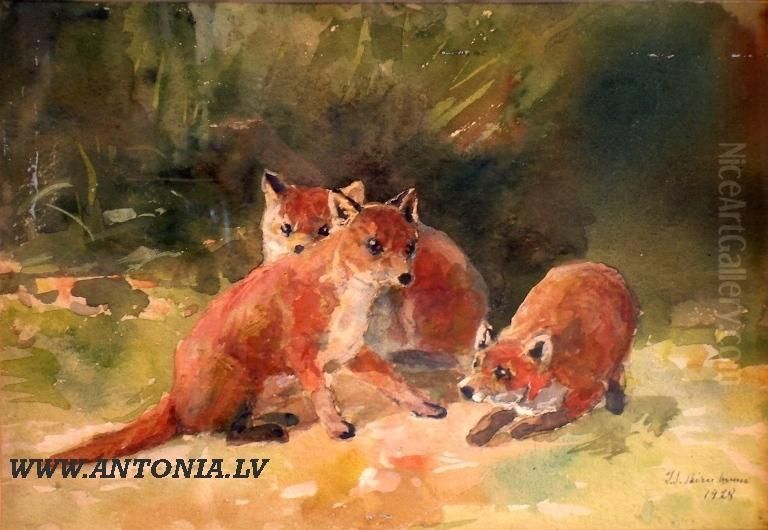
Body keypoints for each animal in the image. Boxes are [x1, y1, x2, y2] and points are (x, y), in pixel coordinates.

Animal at [51, 189, 447, 461]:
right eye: (374, 245)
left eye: (410, 246)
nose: (406, 277)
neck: (351, 299)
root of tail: (174, 397)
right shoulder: (303, 355)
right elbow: (323, 395)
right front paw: (337, 427)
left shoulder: (351, 351)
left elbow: (396, 383)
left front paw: (425, 406)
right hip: (242, 379)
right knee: (225, 434)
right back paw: (270, 430)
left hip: (265, 385)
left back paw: (278, 417)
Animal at [459, 262, 638, 446]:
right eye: (475, 364)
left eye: (501, 372)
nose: (465, 390)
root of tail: (599, 266)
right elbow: (498, 412)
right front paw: (481, 430)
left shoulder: (591, 389)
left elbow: (555, 415)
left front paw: (524, 425)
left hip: (617, 350)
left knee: (618, 371)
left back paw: (616, 400)